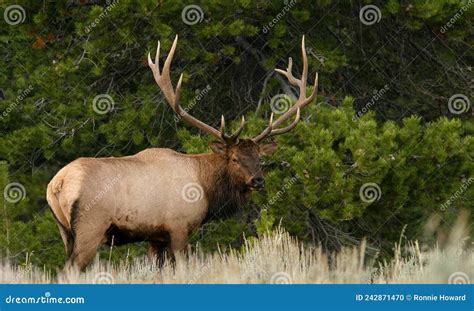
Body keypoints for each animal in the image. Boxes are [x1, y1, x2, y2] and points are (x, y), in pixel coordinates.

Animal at [47, 36, 318, 270]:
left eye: (258, 157)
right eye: (234, 158)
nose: (258, 180)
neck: (207, 188)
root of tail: (57, 184)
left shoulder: (155, 237)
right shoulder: (178, 227)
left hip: (65, 232)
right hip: (90, 227)